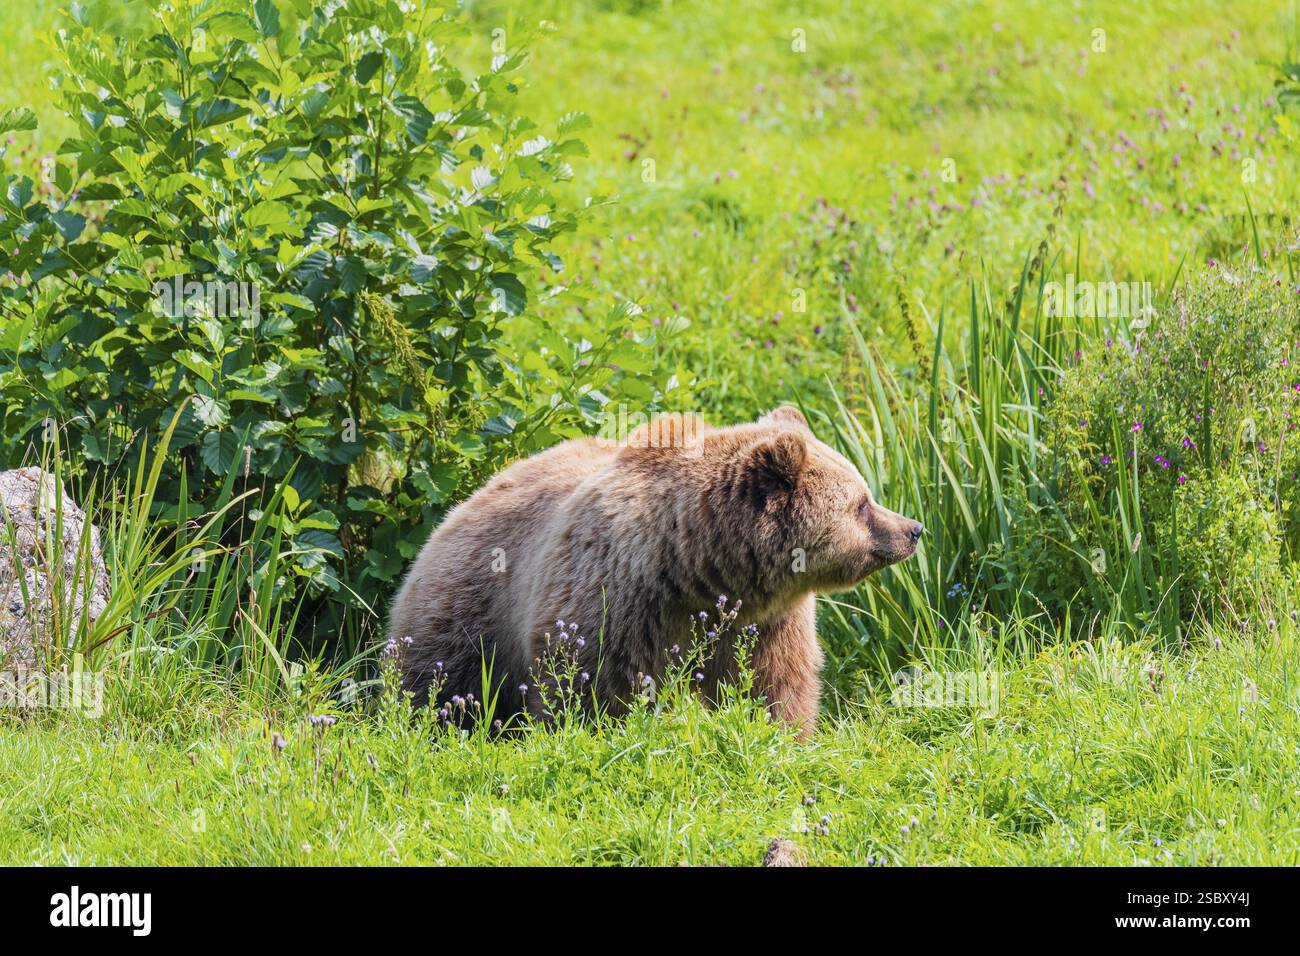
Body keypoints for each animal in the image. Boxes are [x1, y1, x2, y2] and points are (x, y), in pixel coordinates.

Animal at [387, 405, 921, 738]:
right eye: (861, 503)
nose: (912, 528)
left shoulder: (768, 619)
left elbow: (773, 682)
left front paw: (785, 735)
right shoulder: (617, 597)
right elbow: (594, 684)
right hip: (471, 606)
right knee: (442, 680)